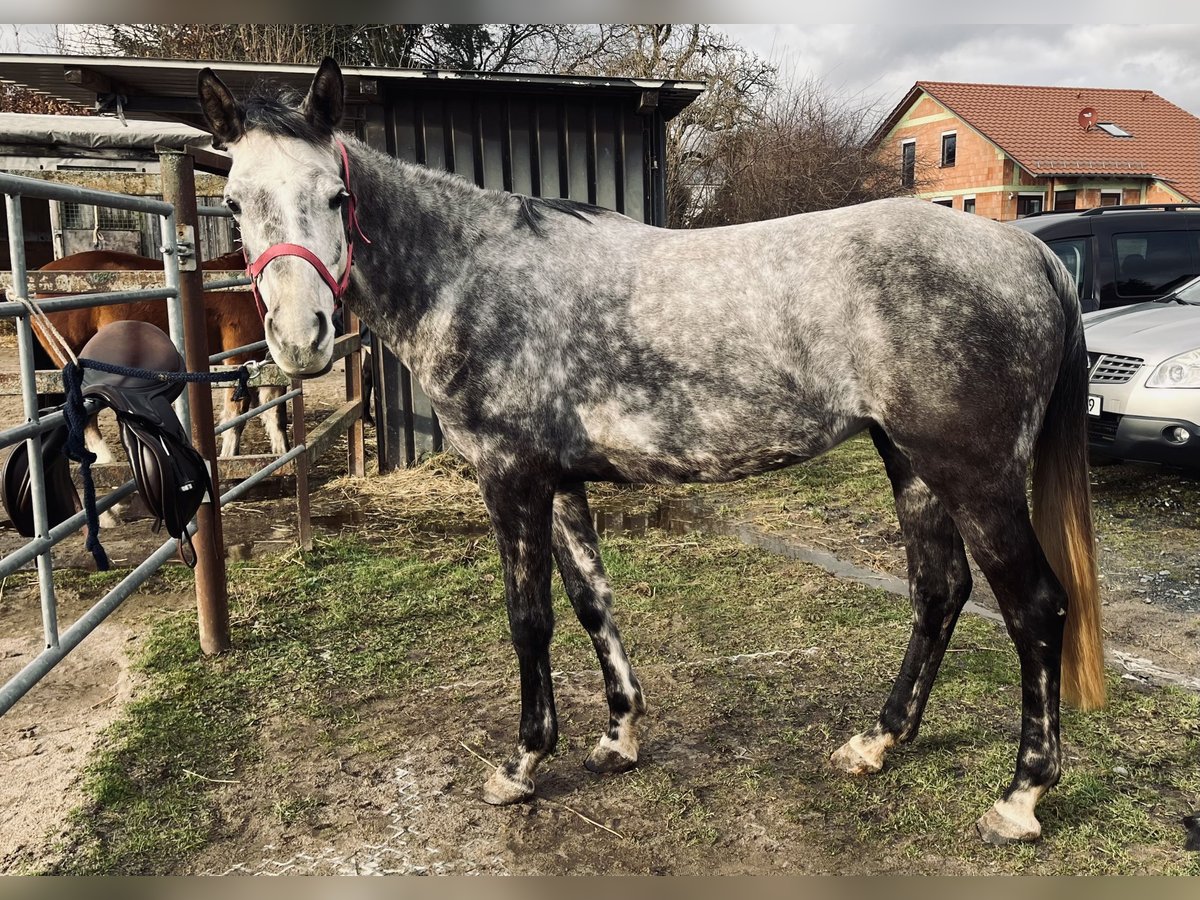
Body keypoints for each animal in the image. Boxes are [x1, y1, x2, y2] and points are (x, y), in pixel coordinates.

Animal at [199, 61, 1104, 844]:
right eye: (237, 203)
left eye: (336, 194)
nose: (301, 339)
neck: (471, 278)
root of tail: (1030, 253)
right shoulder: (559, 483)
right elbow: (592, 601)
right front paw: (618, 735)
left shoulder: (510, 480)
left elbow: (529, 620)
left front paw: (521, 764)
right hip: (911, 463)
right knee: (939, 591)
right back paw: (876, 743)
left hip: (974, 476)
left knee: (1035, 608)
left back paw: (1020, 797)